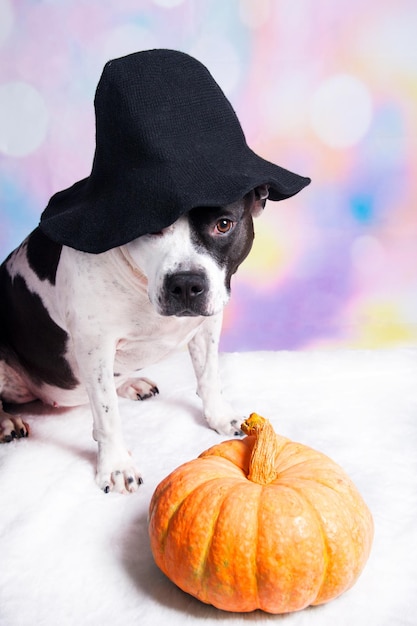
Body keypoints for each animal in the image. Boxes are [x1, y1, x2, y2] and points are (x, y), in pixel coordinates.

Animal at [0, 185, 266, 492]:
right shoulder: (95, 346)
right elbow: (107, 415)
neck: (139, 282)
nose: (186, 284)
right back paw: (5, 422)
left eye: (223, 224)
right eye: (152, 226)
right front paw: (116, 465)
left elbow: (209, 377)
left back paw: (132, 383)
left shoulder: (208, 322)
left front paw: (220, 417)